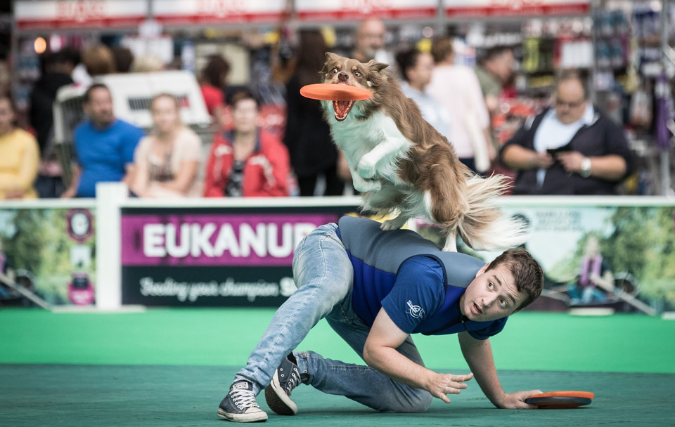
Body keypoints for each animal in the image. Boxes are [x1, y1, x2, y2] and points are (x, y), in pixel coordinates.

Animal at [320, 53, 524, 252]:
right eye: (335, 70)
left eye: (357, 74)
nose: (342, 76)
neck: (361, 114)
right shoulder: (348, 146)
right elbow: (357, 178)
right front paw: (372, 183)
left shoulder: (398, 139)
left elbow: (367, 160)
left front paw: (371, 173)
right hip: (382, 199)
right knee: (408, 207)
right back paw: (394, 222)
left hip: (436, 198)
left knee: (455, 216)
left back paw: (450, 247)